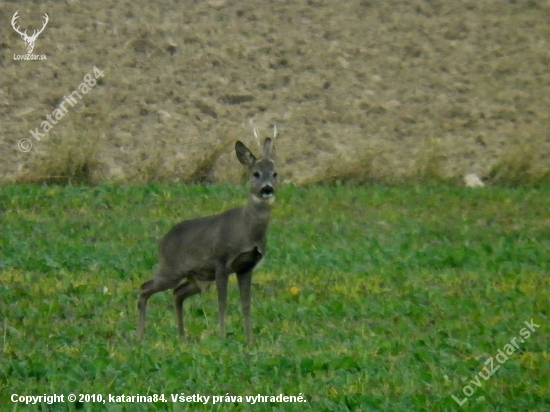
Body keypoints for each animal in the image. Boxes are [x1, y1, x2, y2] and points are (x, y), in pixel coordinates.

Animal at [136, 127, 278, 342]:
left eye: (275, 173)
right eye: (256, 173)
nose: (267, 188)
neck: (246, 231)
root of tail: (163, 241)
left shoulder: (247, 266)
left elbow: (246, 304)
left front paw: (250, 339)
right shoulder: (221, 262)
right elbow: (223, 302)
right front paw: (223, 337)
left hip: (197, 277)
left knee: (177, 292)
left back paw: (182, 335)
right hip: (171, 270)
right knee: (145, 288)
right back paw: (141, 336)